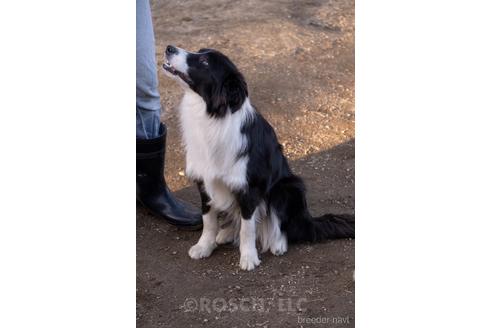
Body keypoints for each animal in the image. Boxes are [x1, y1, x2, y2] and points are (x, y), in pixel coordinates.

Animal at [163, 46, 356, 272]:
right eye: (200, 51)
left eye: (204, 62)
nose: (169, 48)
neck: (212, 115)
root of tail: (307, 220)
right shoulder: (204, 181)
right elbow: (209, 219)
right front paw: (204, 246)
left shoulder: (250, 188)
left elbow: (247, 228)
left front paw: (248, 258)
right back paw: (226, 233)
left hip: (288, 187)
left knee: (281, 225)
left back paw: (278, 244)